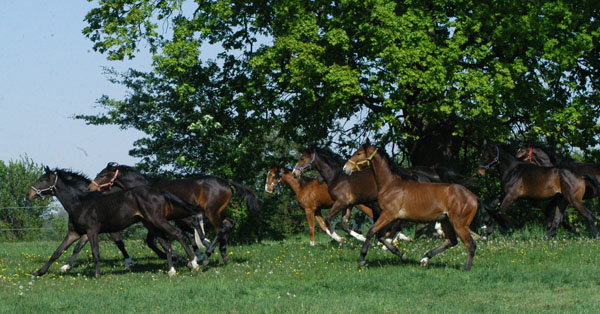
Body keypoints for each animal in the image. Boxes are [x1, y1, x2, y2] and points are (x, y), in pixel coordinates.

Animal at [27, 168, 202, 276]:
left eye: (42, 180)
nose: (28, 194)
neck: (80, 202)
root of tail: (159, 191)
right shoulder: (74, 233)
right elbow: (57, 252)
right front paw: (38, 273)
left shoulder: (92, 231)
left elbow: (95, 252)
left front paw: (97, 274)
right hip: (152, 224)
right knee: (166, 243)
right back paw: (172, 270)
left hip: (158, 221)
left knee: (179, 234)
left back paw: (194, 262)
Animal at [88, 163, 258, 266]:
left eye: (102, 175)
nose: (90, 188)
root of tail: (227, 183)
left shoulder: (157, 220)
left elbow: (156, 241)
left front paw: (182, 258)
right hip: (217, 212)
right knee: (229, 224)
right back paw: (223, 253)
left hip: (211, 212)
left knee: (220, 229)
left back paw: (208, 256)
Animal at [264, 166, 410, 247]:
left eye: (272, 175)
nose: (267, 189)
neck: (302, 187)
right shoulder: (317, 210)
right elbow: (324, 227)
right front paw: (341, 240)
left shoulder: (309, 210)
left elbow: (311, 227)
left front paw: (312, 244)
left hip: (363, 205)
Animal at [342, 139, 478, 270]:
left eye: (358, 153)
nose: (345, 168)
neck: (391, 184)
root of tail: (473, 197)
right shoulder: (391, 217)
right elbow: (382, 236)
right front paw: (402, 255)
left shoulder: (388, 215)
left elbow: (372, 232)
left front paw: (361, 260)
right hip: (446, 221)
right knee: (452, 241)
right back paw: (425, 259)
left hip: (459, 224)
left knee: (470, 244)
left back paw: (466, 269)